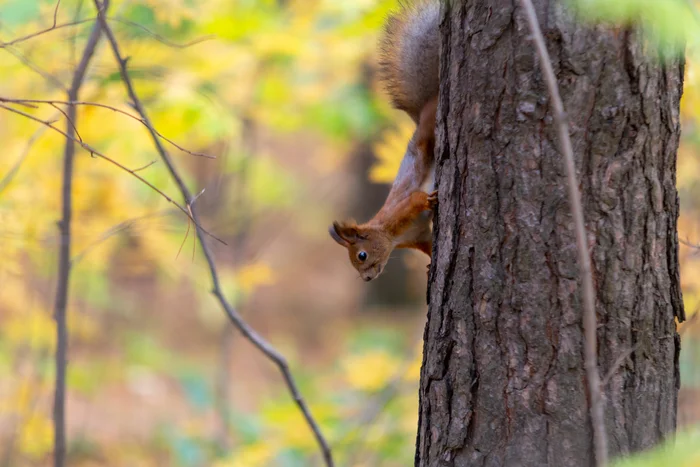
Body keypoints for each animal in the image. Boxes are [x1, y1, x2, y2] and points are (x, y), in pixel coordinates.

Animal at [328, 0, 438, 282]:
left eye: (361, 255)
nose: (366, 278)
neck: (391, 235)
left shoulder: (401, 211)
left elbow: (417, 199)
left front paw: (429, 201)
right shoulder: (419, 237)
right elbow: (430, 247)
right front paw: (430, 266)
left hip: (425, 134)